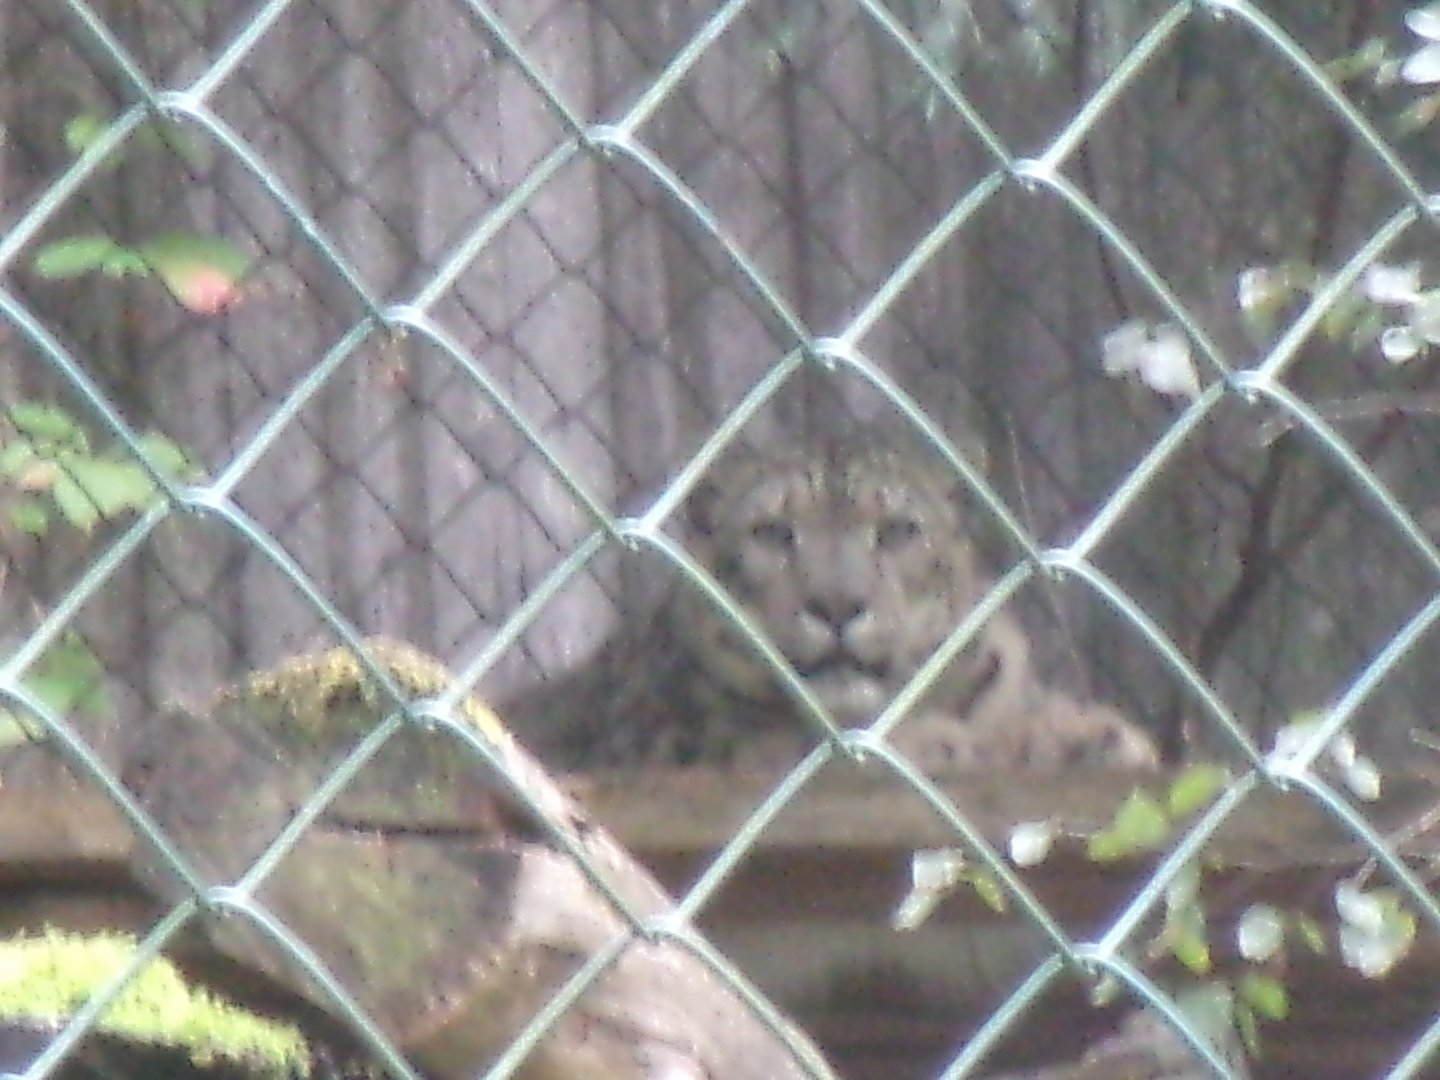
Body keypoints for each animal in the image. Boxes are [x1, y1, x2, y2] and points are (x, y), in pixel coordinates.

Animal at [504, 430, 1159, 774]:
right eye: (771, 532)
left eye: (898, 530)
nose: (838, 604)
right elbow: (771, 746)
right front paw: (941, 745)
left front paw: (1094, 737)